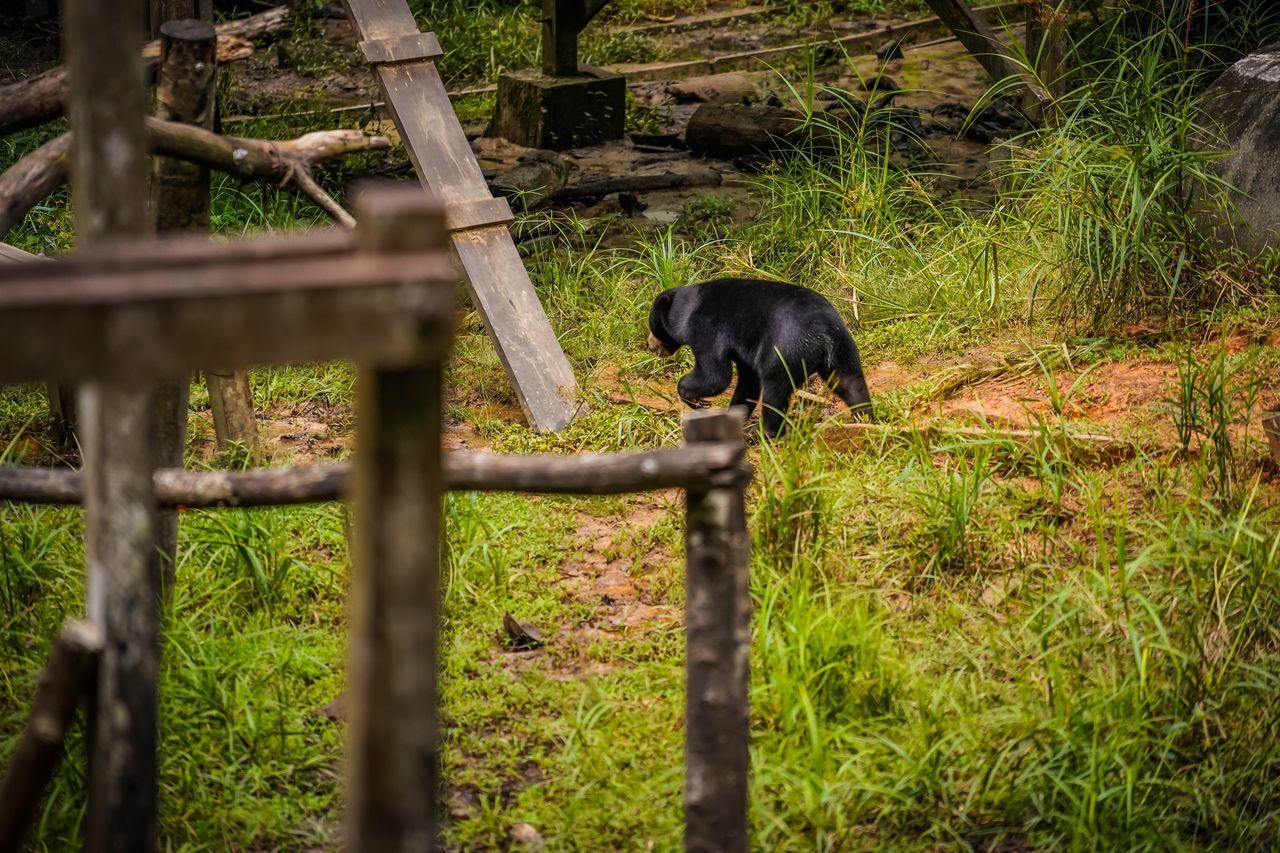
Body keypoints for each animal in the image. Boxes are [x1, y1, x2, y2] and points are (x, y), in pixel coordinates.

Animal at [650, 277, 870, 438]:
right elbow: (748, 382)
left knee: (774, 390)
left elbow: (716, 376)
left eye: (653, 326)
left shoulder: (706, 329)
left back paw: (764, 433)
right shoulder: (744, 350)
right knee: (851, 382)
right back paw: (865, 419)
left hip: (785, 349)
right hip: (843, 350)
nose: (651, 346)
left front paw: (695, 399)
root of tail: (823, 334)